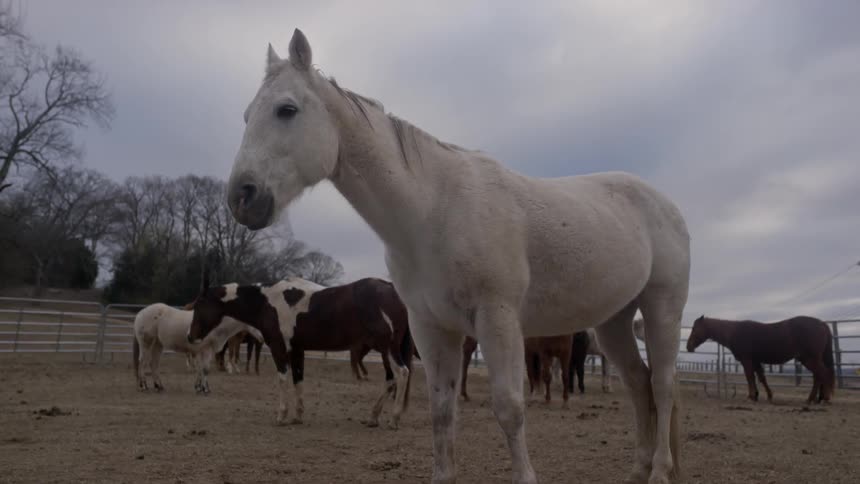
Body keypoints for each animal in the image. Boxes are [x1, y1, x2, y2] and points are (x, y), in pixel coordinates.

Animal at [187, 277, 414, 428]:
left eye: (199, 305)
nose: (190, 336)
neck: (267, 302)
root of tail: (391, 290)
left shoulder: (279, 348)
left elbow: (282, 379)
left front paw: (282, 415)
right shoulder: (297, 351)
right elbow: (298, 380)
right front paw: (298, 416)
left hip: (388, 349)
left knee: (402, 374)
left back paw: (393, 419)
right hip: (384, 352)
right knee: (390, 379)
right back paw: (373, 417)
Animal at [225, 30, 690, 483]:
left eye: (286, 110)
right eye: (246, 115)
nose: (241, 198)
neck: (435, 211)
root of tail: (665, 204)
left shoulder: (497, 320)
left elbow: (509, 408)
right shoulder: (431, 327)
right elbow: (442, 412)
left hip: (661, 308)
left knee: (663, 385)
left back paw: (660, 471)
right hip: (613, 322)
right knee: (638, 383)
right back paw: (639, 468)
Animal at [687, 315, 835, 404]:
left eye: (695, 328)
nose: (688, 346)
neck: (735, 332)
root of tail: (822, 324)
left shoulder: (747, 360)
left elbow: (750, 377)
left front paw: (751, 396)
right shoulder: (756, 361)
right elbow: (761, 378)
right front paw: (766, 396)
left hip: (810, 359)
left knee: (822, 374)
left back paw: (819, 399)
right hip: (811, 359)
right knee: (819, 376)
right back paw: (816, 399)